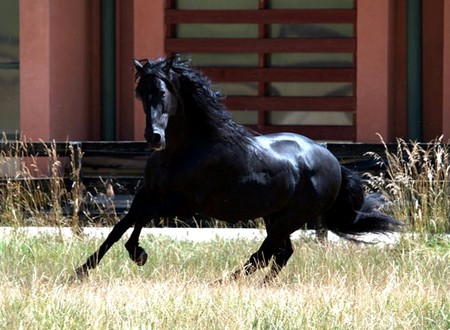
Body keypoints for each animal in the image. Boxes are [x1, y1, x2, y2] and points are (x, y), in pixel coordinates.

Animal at [76, 56, 400, 282]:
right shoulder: (147, 193)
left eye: (163, 92)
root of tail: (334, 162)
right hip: (275, 216)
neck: (186, 149)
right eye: (141, 93)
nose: (154, 137)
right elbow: (120, 227)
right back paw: (259, 287)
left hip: (290, 218)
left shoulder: (183, 204)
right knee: (280, 253)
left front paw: (138, 254)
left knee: (264, 254)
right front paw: (81, 271)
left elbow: (138, 220)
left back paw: (221, 283)